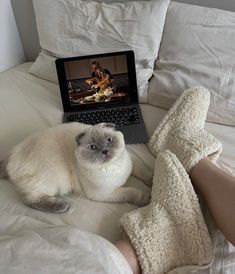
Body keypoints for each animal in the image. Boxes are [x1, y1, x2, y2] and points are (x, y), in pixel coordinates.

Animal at [0, 122, 151, 214]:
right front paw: (147, 198)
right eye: (93, 147)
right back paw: (62, 206)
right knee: (29, 199)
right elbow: (131, 192)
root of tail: (12, 155)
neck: (113, 167)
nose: (105, 151)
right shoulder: (104, 193)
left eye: (110, 140)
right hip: (54, 180)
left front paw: (153, 181)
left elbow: (145, 172)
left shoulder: (133, 162)